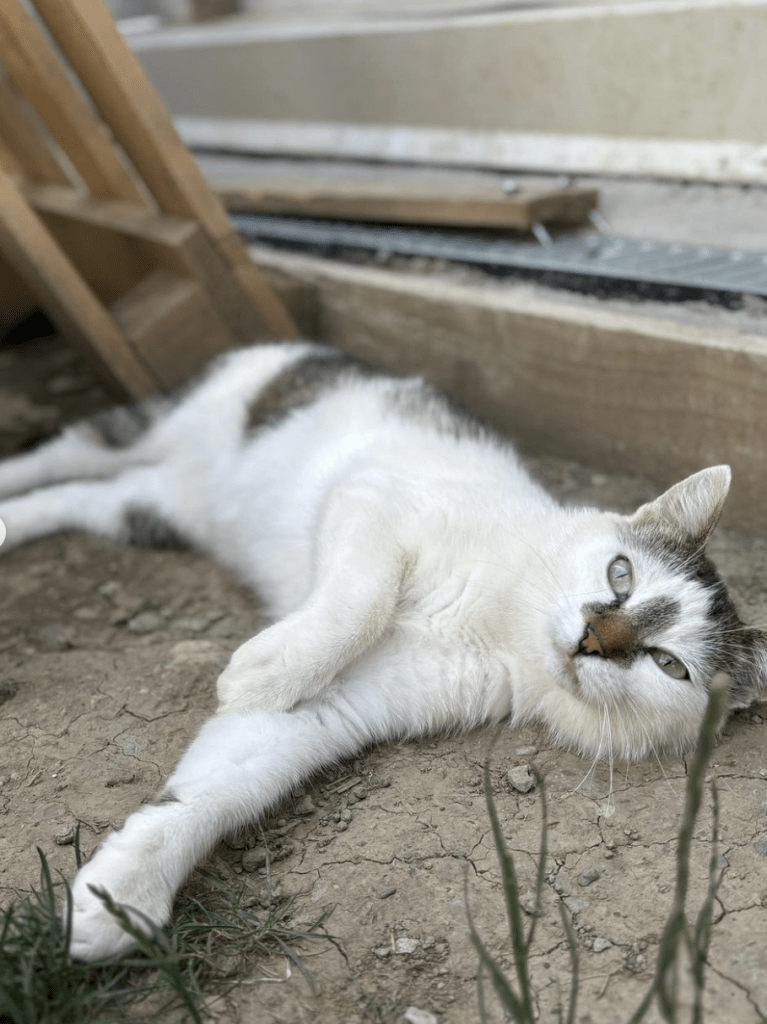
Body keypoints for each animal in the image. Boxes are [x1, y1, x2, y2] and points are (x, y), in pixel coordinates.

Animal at [1, 342, 765, 958]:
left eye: (668, 664)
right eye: (620, 574)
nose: (591, 638)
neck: (504, 626)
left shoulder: (336, 711)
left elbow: (222, 785)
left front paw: (120, 896)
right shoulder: (373, 501)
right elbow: (359, 601)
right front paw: (264, 670)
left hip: (151, 510)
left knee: (85, 497)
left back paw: (11, 524)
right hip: (154, 427)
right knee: (65, 453)